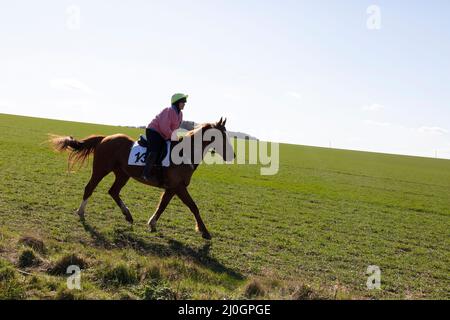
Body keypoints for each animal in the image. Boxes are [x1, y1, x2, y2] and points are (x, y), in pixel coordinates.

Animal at [50, 116, 236, 239]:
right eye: (221, 136)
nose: (232, 155)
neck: (185, 154)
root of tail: (105, 138)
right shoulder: (178, 187)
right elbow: (193, 206)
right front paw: (204, 231)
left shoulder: (172, 188)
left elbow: (162, 205)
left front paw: (152, 223)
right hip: (101, 170)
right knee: (90, 187)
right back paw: (81, 212)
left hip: (123, 174)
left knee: (113, 191)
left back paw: (128, 215)